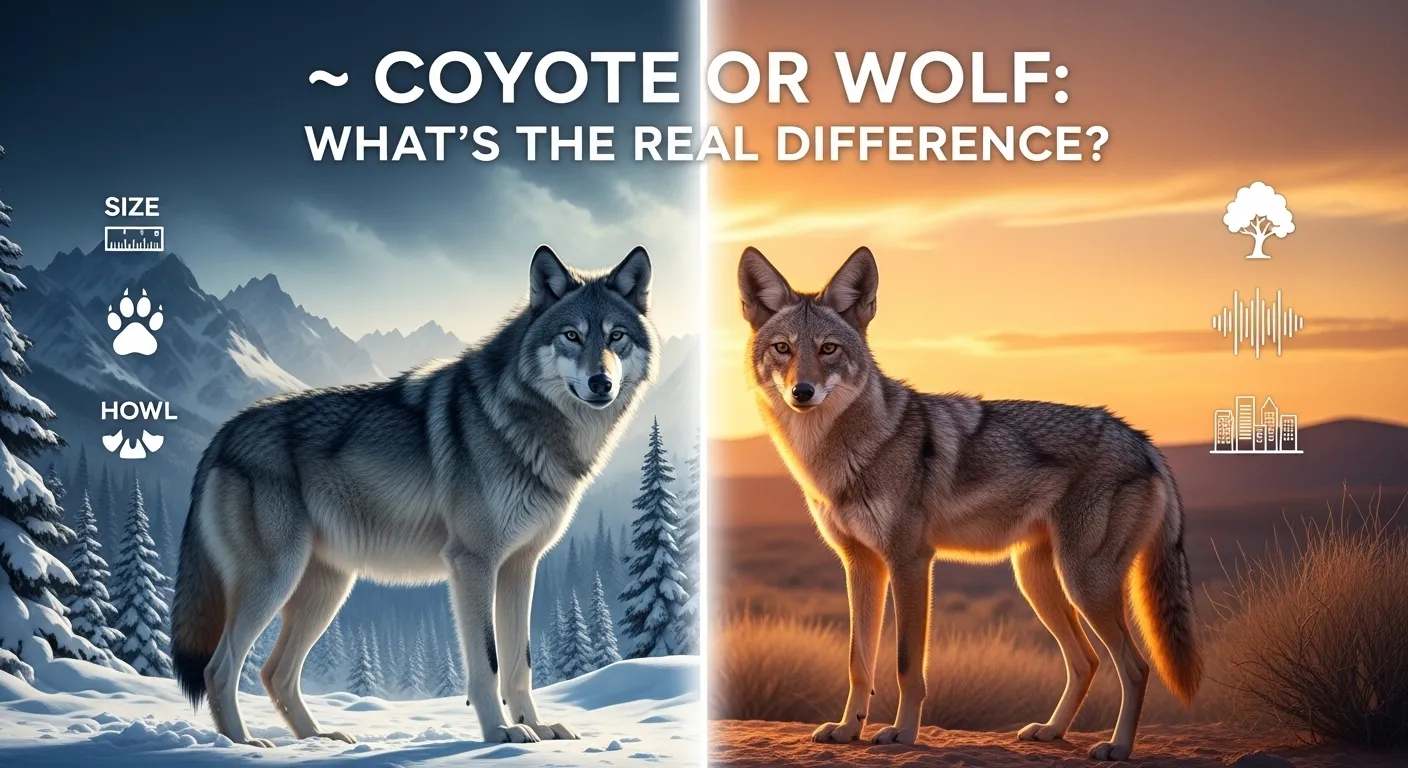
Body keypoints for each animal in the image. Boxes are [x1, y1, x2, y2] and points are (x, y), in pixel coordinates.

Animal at [170, 245, 658, 747]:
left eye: (616, 336)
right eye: (571, 336)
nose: (601, 383)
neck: (528, 423)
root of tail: (224, 433)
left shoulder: (521, 567)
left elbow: (519, 664)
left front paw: (536, 727)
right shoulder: (473, 563)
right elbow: (488, 663)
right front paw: (500, 733)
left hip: (326, 589)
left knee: (275, 673)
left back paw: (320, 738)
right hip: (276, 579)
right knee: (219, 668)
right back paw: (242, 744)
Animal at [737, 247, 1202, 761]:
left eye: (828, 349)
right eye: (783, 349)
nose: (803, 392)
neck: (841, 453)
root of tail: (1142, 440)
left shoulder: (911, 562)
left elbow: (905, 664)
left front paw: (902, 734)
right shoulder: (861, 565)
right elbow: (859, 661)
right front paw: (846, 729)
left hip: (1083, 582)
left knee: (1135, 667)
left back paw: (1117, 747)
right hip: (1036, 580)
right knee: (1087, 661)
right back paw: (1051, 731)